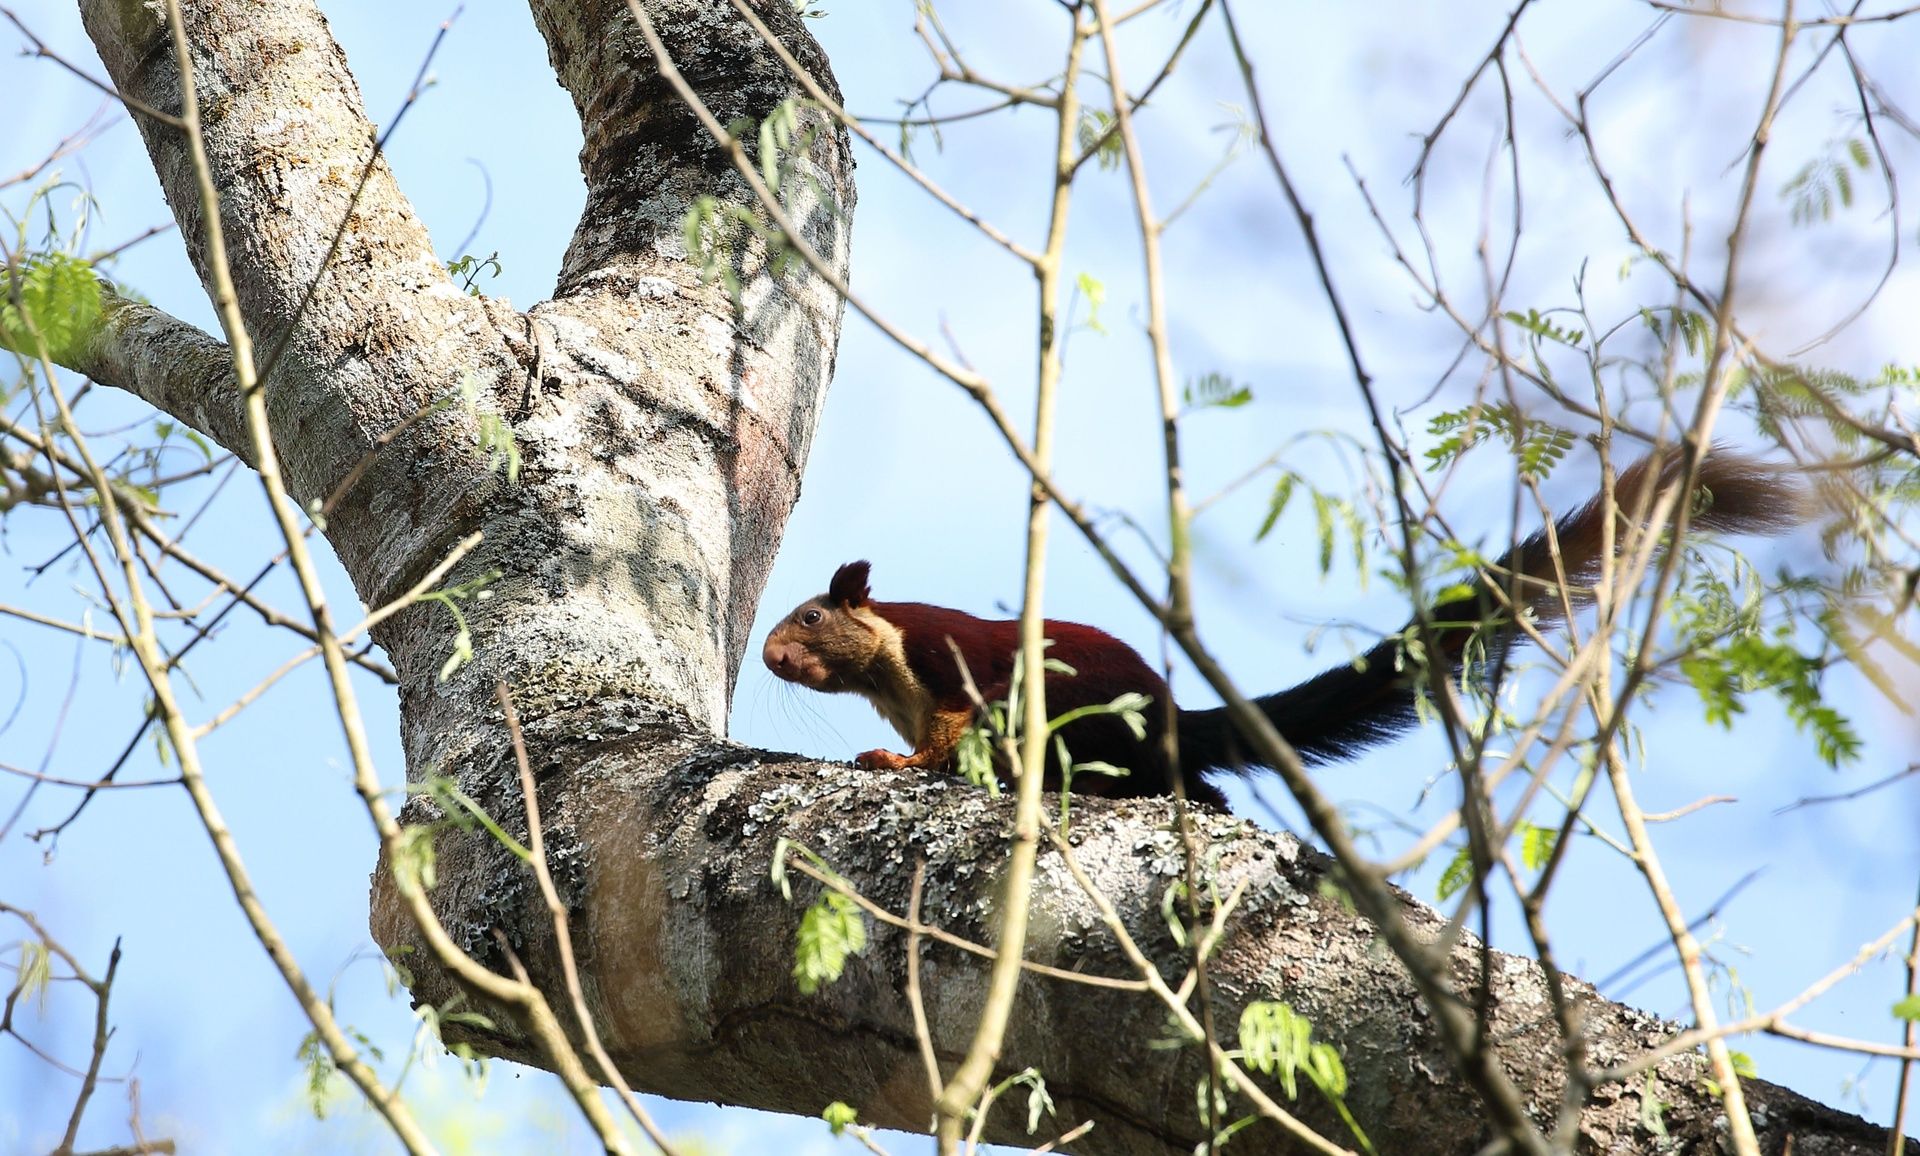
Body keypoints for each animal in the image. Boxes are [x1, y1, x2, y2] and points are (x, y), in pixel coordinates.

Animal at [761, 451, 1800, 807]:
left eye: (810, 614)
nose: (771, 655)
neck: (886, 669)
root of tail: (1178, 722)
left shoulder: (950, 663)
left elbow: (953, 730)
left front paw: (901, 763)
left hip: (1096, 725)